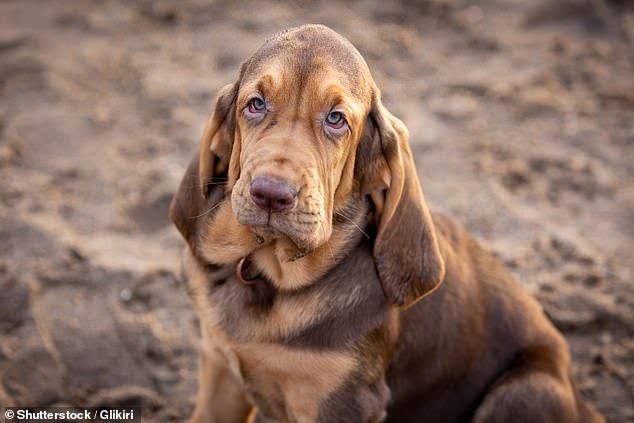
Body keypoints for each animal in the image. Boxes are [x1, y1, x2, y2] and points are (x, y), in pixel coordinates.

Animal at [169, 24, 604, 423]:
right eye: (255, 104)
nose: (272, 194)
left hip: (525, 391)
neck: (266, 275)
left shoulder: (344, 405)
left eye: (336, 119)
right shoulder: (220, 368)